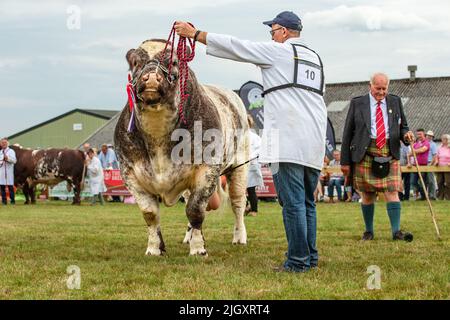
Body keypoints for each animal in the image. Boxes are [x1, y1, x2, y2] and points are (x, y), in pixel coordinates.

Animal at [115, 38, 250, 256]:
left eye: (174, 61)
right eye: (135, 62)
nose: (150, 77)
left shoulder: (207, 169)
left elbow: (195, 211)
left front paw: (198, 249)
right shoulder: (130, 173)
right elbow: (150, 214)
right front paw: (154, 248)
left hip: (240, 166)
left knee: (238, 203)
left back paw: (239, 237)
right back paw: (188, 237)